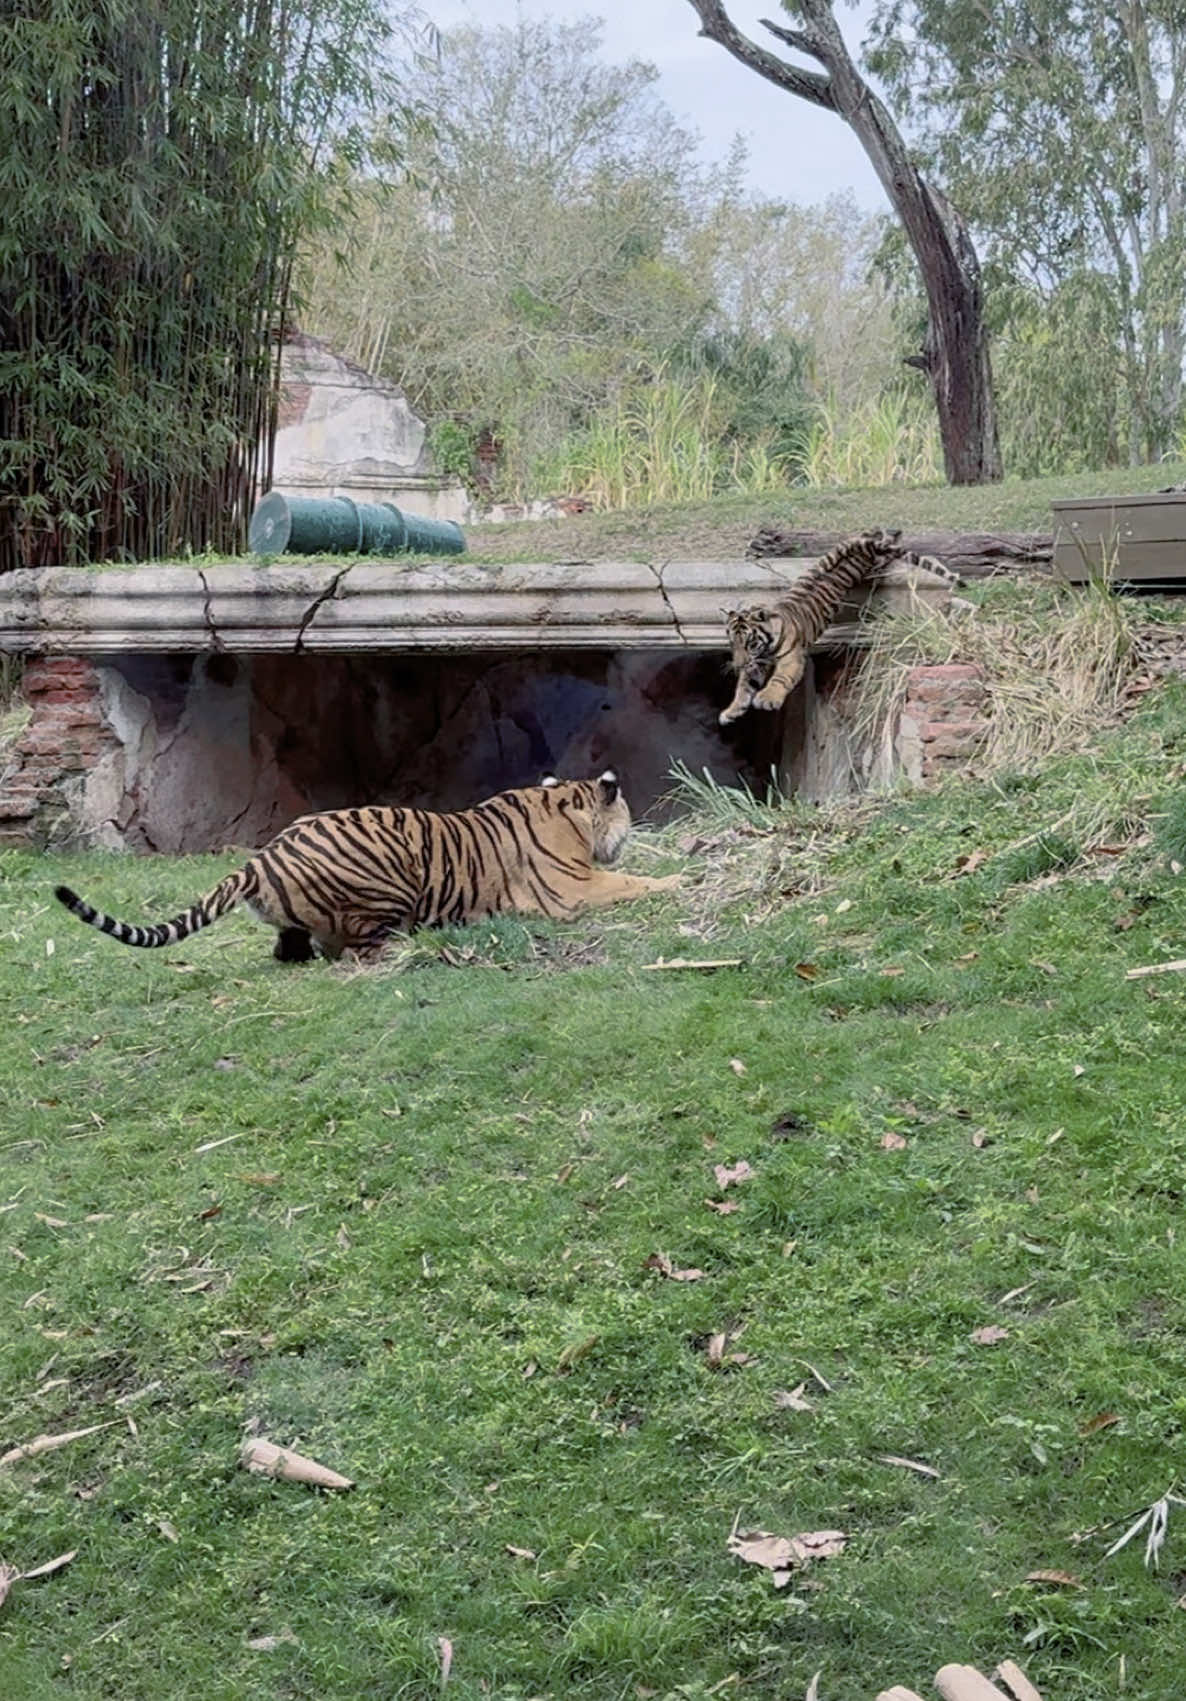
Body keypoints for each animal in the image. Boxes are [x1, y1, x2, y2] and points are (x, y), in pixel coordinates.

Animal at [55, 775, 680, 972]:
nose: (629, 831)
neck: (567, 803)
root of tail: (261, 857)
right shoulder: (572, 889)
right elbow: (634, 883)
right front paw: (679, 880)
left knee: (290, 949)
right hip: (387, 884)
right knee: (357, 948)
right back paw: (409, 944)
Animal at [718, 523, 959, 724]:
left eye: (750, 643)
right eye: (732, 643)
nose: (737, 665)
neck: (764, 648)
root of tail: (861, 544)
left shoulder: (792, 659)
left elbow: (780, 678)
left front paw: (767, 699)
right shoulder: (755, 664)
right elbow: (743, 689)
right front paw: (730, 712)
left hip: (872, 561)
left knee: (886, 551)